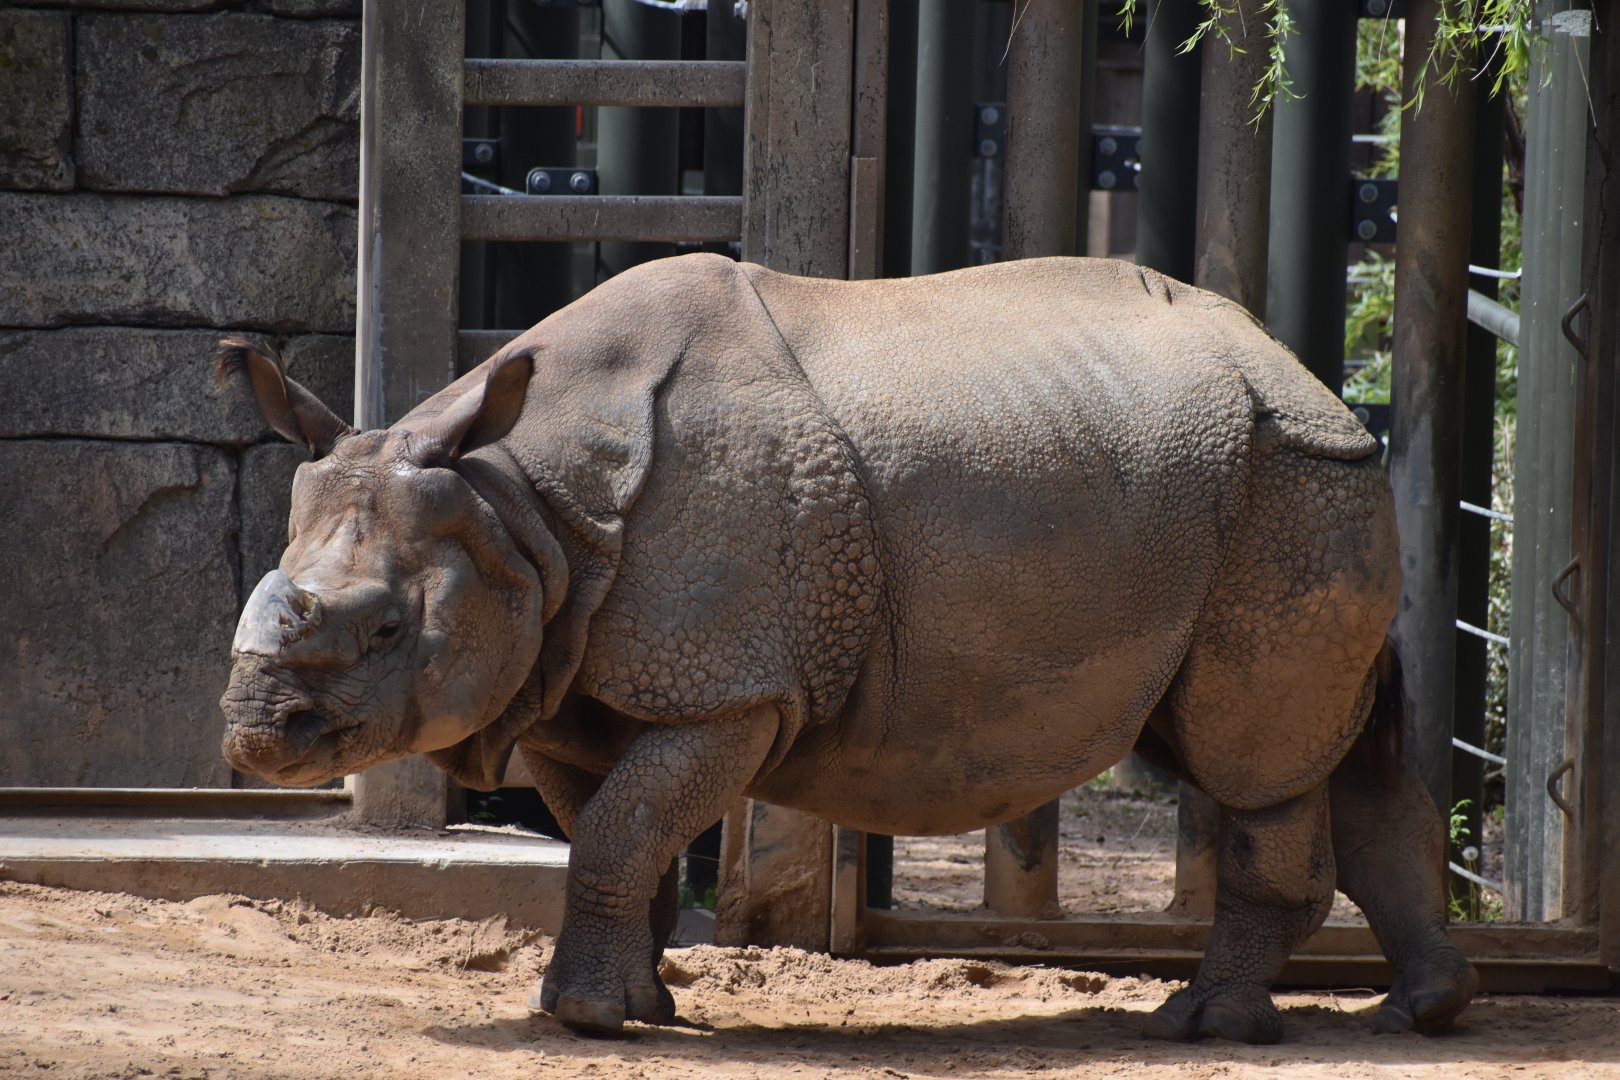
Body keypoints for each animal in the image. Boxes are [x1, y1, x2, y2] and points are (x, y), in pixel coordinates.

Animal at [219, 253, 1477, 1043]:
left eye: (389, 628)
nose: (255, 740)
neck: (520, 507)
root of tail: (1307, 374)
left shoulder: (731, 688)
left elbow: (622, 832)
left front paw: (580, 1020)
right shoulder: (576, 679)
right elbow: (619, 835)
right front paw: (639, 1006)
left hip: (1287, 481)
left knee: (1249, 760)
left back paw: (1205, 1027)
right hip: (1244, 489)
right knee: (1311, 743)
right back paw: (1422, 1014)